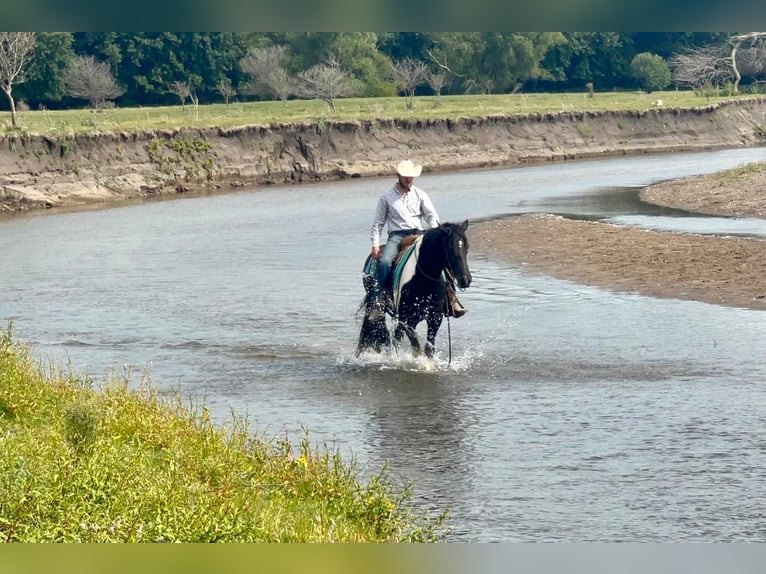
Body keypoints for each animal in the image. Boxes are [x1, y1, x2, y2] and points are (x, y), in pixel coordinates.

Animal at [356, 222, 472, 360]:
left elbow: (428, 349)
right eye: (450, 249)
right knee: (388, 334)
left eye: (467, 248)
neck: (423, 279)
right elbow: (416, 346)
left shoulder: (435, 317)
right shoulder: (406, 318)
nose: (466, 280)